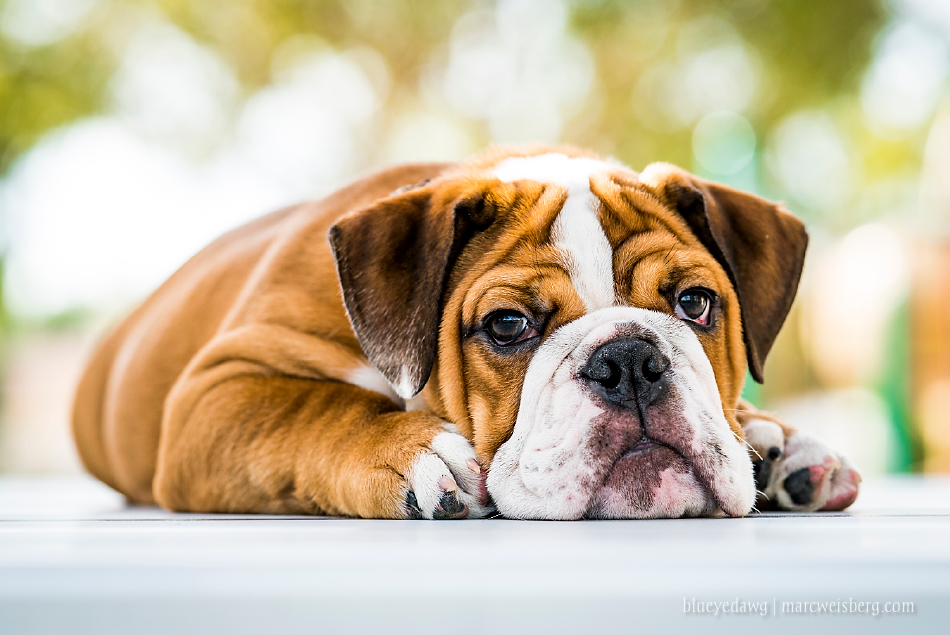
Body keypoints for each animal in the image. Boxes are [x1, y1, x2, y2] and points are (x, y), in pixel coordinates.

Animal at [72, 147, 864, 520]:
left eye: (696, 303)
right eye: (507, 325)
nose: (630, 359)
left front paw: (777, 438)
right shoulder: (215, 394)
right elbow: (314, 408)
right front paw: (418, 452)